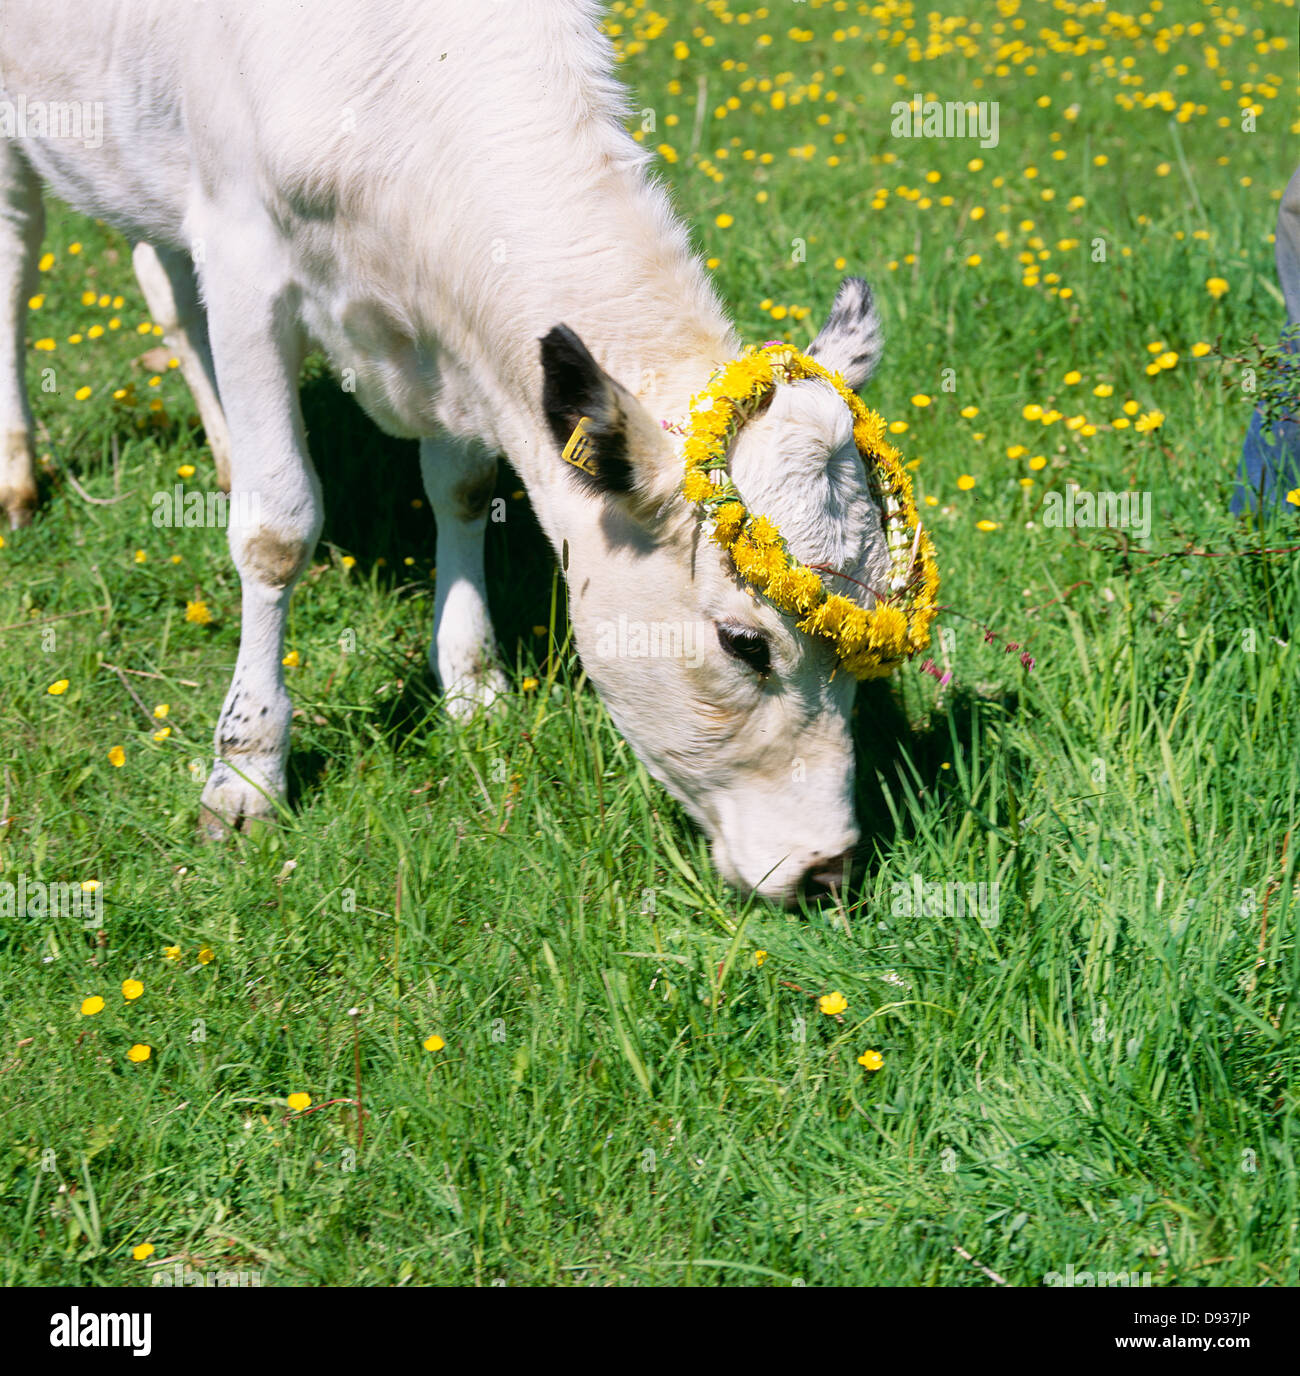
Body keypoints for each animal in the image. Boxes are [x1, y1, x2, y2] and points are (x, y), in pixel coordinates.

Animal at [0, 0, 900, 904]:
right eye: (744, 643)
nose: (829, 869)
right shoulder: (243, 252)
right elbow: (277, 528)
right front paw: (247, 772)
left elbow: (462, 489)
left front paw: (475, 688)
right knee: (17, 261)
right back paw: (20, 481)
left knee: (164, 282)